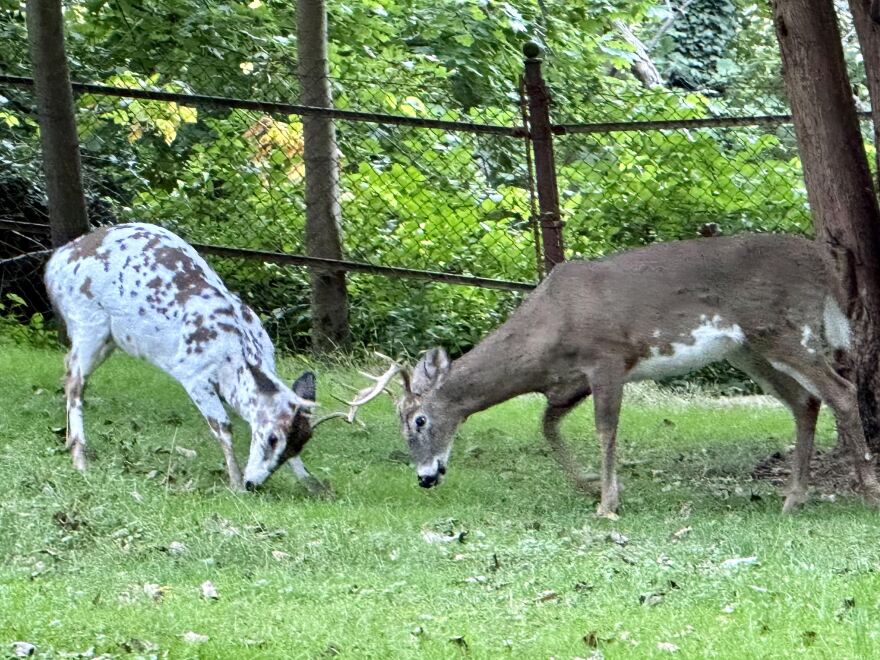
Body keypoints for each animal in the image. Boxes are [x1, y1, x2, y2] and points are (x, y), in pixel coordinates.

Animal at [44, 223, 347, 493]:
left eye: (298, 444)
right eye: (272, 438)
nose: (254, 484)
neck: (233, 360)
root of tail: (52, 266)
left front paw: (313, 484)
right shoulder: (193, 373)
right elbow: (222, 426)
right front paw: (235, 483)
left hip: (108, 338)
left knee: (68, 366)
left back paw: (69, 443)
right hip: (87, 319)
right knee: (75, 380)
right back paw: (80, 459)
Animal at [389, 234, 880, 516]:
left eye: (419, 420)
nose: (425, 477)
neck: (546, 332)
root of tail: (823, 259)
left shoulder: (607, 357)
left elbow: (606, 429)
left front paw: (607, 504)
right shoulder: (568, 384)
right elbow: (547, 426)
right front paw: (589, 487)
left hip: (786, 328)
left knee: (841, 389)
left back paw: (868, 493)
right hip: (750, 348)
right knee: (806, 400)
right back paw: (793, 498)